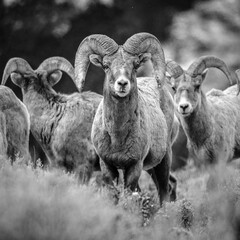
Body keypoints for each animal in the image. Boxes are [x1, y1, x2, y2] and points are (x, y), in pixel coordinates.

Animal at [74, 32, 177, 204]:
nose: (122, 84)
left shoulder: (134, 166)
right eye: (106, 65)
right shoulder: (107, 166)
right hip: (151, 168)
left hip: (164, 159)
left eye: (135, 64)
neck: (117, 136)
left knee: (164, 191)